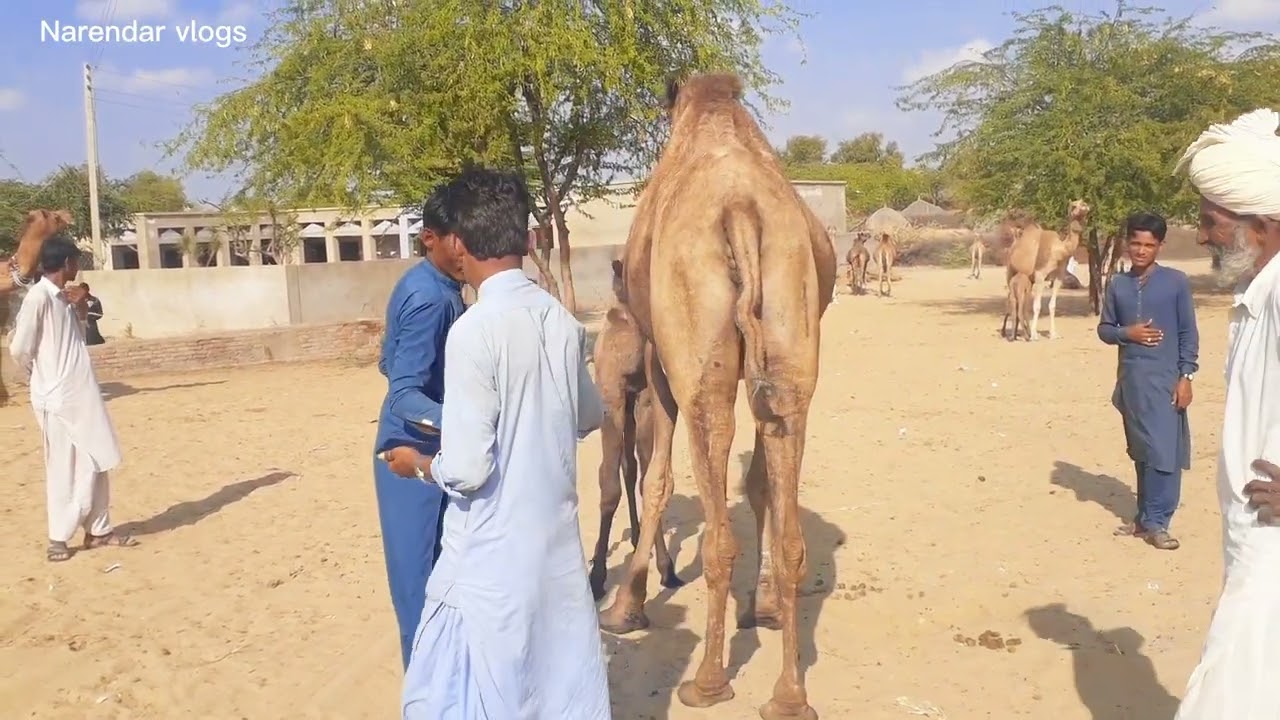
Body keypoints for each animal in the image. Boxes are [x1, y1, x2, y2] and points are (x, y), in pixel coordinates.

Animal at [588, 259, 682, 601]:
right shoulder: (611, 398)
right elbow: (608, 485)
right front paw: (596, 577)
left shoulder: (644, 401)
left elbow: (646, 480)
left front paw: (667, 567)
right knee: (621, 469)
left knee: (630, 468)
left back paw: (638, 533)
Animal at [599, 73, 835, 720]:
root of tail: (741, 211)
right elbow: (758, 485)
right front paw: (765, 608)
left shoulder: (659, 361)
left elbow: (657, 479)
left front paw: (625, 608)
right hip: (791, 331)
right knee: (786, 504)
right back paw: (788, 694)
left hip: (695, 338)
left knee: (715, 508)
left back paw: (706, 680)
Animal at [1003, 199, 1091, 340]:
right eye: (1074, 206)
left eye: (1083, 202)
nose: (1085, 206)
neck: (1059, 251)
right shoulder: (1040, 275)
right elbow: (1037, 306)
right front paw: (1034, 335)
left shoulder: (1059, 277)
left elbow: (1052, 305)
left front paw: (1053, 334)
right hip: (1010, 271)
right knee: (1012, 299)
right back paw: (1013, 334)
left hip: (1028, 279)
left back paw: (1020, 332)